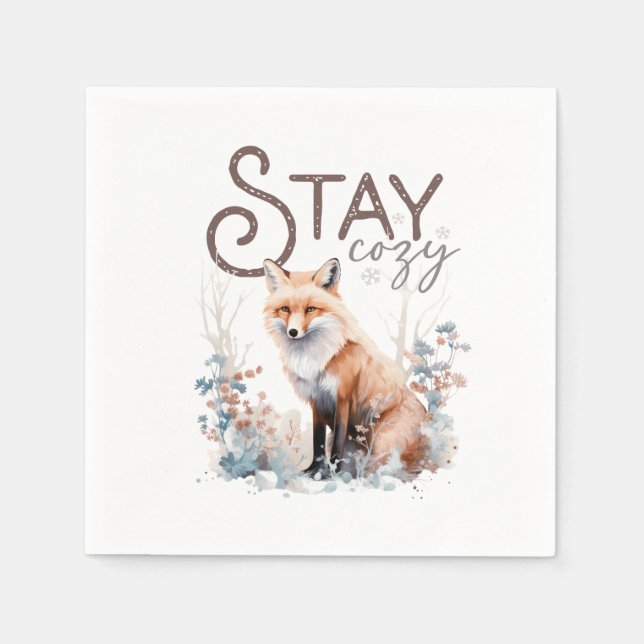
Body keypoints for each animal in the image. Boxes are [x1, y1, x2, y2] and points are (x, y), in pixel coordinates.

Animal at [263, 257, 429, 478]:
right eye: (285, 309)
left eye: (310, 309)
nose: (293, 332)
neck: (318, 358)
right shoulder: (316, 399)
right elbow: (317, 441)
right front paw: (314, 470)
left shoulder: (343, 397)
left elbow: (337, 443)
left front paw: (331, 474)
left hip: (382, 439)